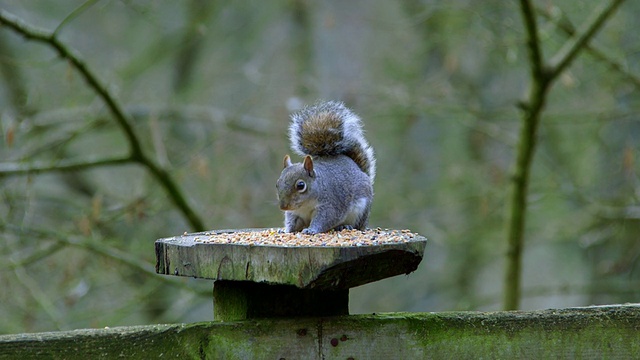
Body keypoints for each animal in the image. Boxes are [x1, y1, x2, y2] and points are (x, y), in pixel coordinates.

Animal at [276, 100, 376, 235]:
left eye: (301, 185)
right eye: (277, 184)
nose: (284, 207)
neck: (304, 205)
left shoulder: (330, 206)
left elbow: (324, 220)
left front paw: (311, 230)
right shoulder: (294, 213)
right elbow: (292, 222)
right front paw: (285, 231)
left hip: (361, 210)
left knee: (357, 226)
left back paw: (344, 226)